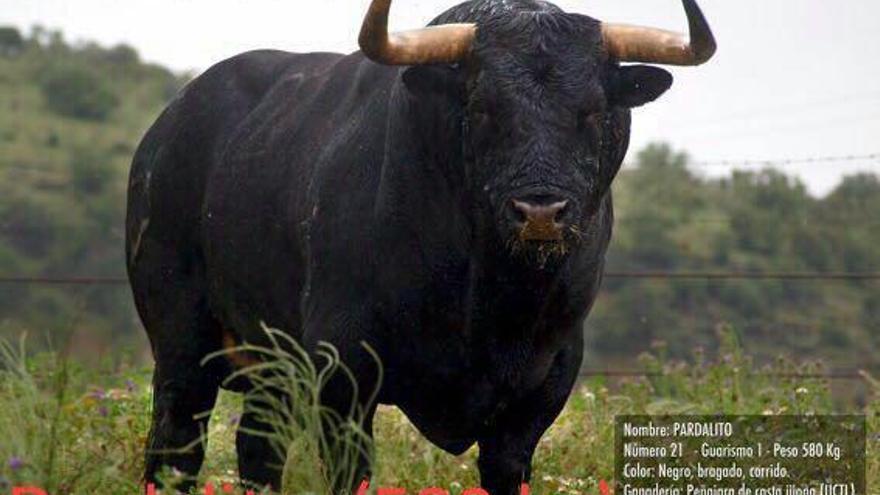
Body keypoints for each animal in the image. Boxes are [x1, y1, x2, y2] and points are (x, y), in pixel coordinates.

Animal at [125, 0, 716, 492]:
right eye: (483, 107)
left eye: (592, 111)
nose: (540, 213)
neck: (492, 301)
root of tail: (167, 125)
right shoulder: (343, 371)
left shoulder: (543, 385)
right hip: (181, 340)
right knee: (175, 448)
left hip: (271, 366)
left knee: (256, 450)